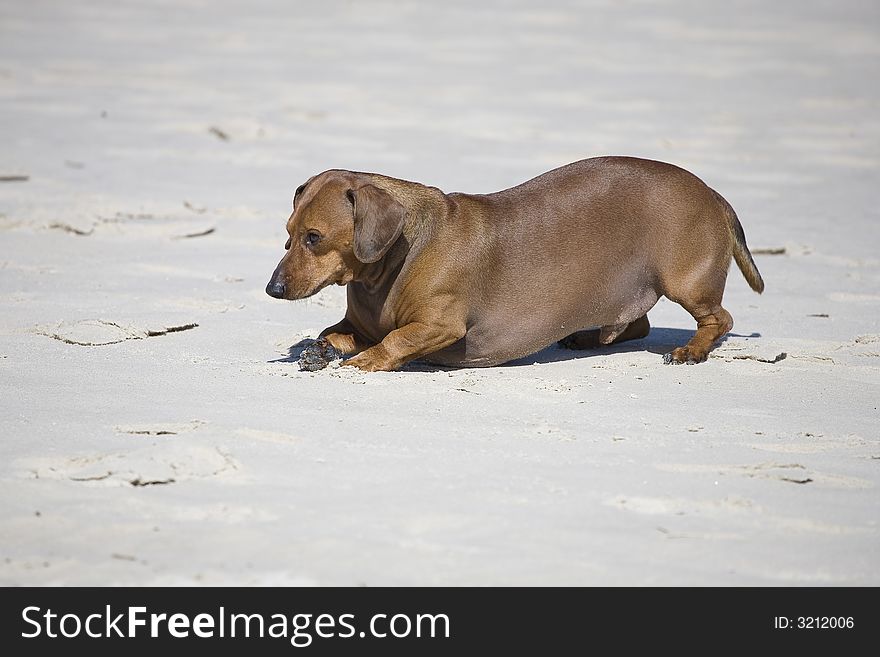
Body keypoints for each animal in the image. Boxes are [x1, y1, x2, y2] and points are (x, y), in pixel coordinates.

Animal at [266, 156, 764, 368]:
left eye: (314, 238)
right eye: (288, 234)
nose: (273, 289)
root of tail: (713, 194)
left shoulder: (439, 326)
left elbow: (394, 341)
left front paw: (365, 360)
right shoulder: (360, 322)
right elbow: (336, 332)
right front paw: (322, 348)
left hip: (687, 282)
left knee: (719, 319)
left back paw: (692, 350)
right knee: (636, 324)